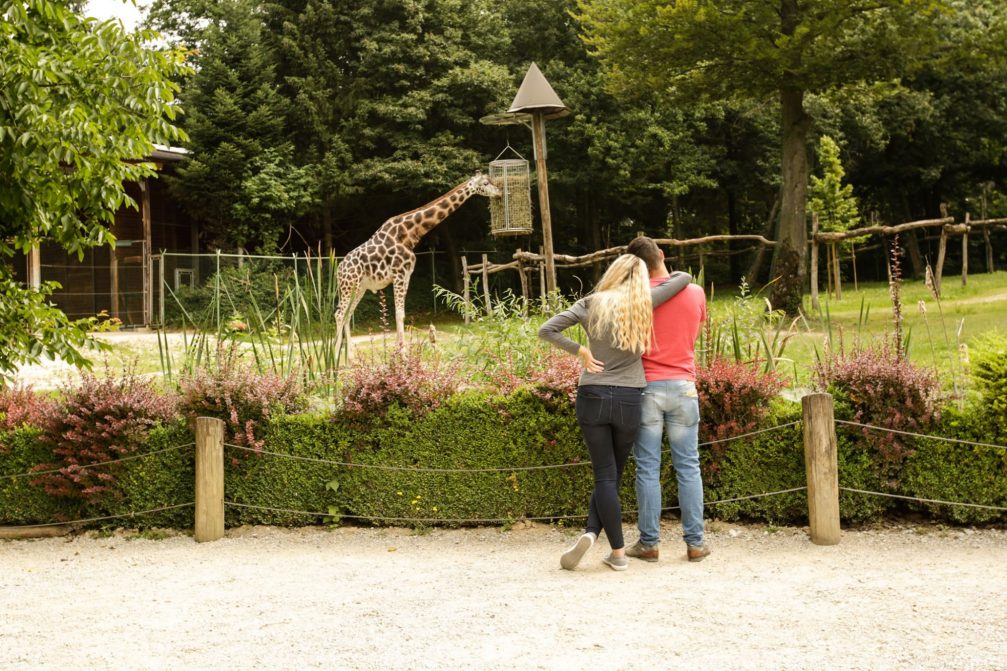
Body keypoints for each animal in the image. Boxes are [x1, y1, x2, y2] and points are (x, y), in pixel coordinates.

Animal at [334, 175, 499, 358]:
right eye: (485, 183)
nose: (499, 193)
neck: (409, 233)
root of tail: (339, 269)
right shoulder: (399, 274)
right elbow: (399, 314)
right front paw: (404, 355)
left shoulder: (407, 275)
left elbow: (402, 314)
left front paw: (399, 352)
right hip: (349, 285)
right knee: (339, 314)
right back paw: (334, 358)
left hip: (359, 287)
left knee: (347, 314)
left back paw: (350, 358)